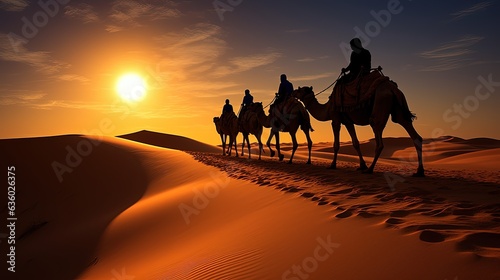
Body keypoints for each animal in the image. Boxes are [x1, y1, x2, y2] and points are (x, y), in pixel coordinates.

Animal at [292, 76, 424, 176]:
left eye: (300, 90)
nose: (292, 92)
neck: (327, 108)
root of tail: (393, 89)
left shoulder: (336, 119)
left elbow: (336, 144)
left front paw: (333, 165)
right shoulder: (348, 121)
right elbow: (356, 143)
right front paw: (362, 165)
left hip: (379, 107)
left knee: (379, 142)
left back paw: (370, 170)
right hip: (398, 110)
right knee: (415, 135)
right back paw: (419, 171)